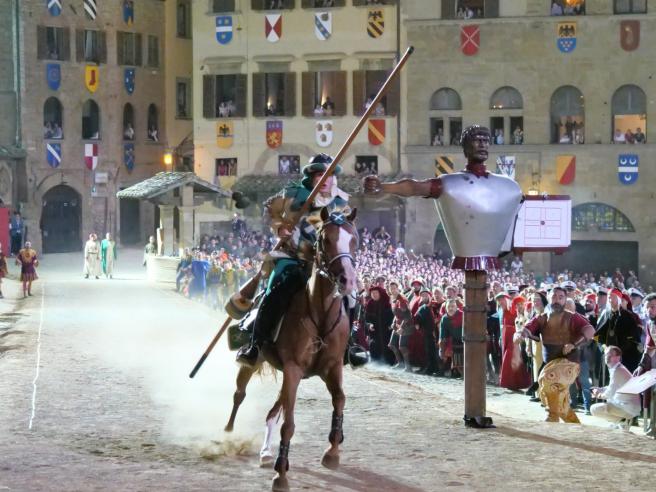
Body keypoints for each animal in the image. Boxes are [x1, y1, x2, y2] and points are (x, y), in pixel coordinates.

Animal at [224, 208, 358, 492]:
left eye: (354, 240)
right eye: (325, 240)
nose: (348, 280)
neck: (319, 313)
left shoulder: (332, 367)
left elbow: (339, 401)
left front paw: (333, 451)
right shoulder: (294, 370)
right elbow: (289, 424)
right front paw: (281, 474)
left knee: (273, 411)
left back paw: (266, 453)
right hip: (255, 363)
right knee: (240, 394)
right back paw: (230, 433)